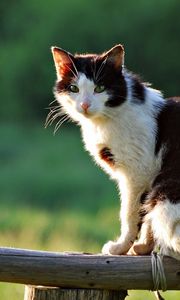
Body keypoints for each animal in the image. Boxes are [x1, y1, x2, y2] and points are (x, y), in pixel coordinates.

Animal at [49, 44, 180, 260]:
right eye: (74, 88)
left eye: (100, 88)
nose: (85, 105)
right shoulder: (146, 177)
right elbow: (146, 215)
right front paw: (143, 247)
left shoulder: (138, 173)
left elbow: (131, 213)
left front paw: (120, 248)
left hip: (165, 195)